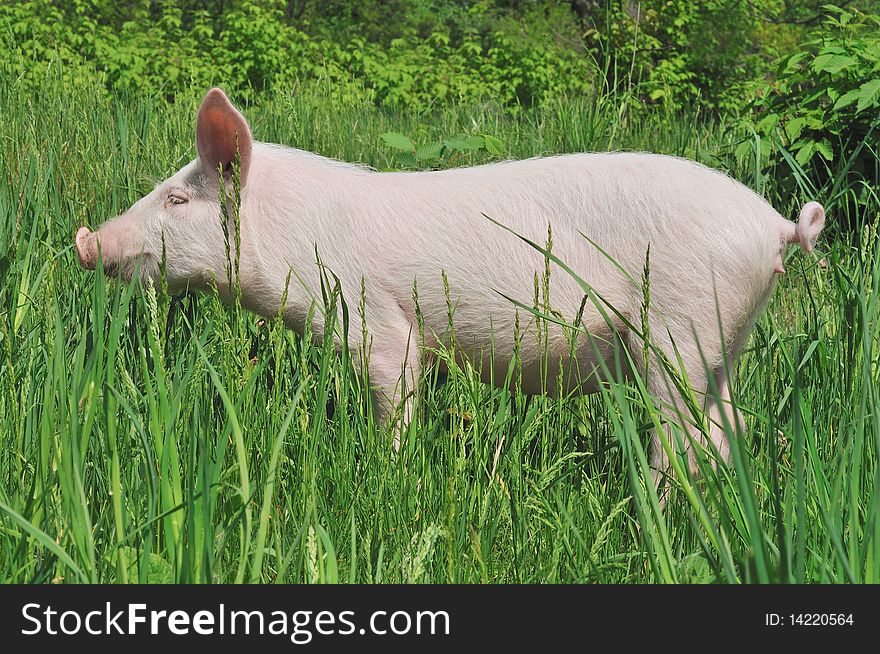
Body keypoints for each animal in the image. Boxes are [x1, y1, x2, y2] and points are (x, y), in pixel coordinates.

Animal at [75, 88, 824, 482]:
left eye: (176, 198)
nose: (88, 241)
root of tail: (775, 226)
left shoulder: (378, 327)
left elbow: (396, 395)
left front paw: (386, 474)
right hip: (723, 337)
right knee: (729, 424)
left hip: (678, 329)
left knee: (685, 435)